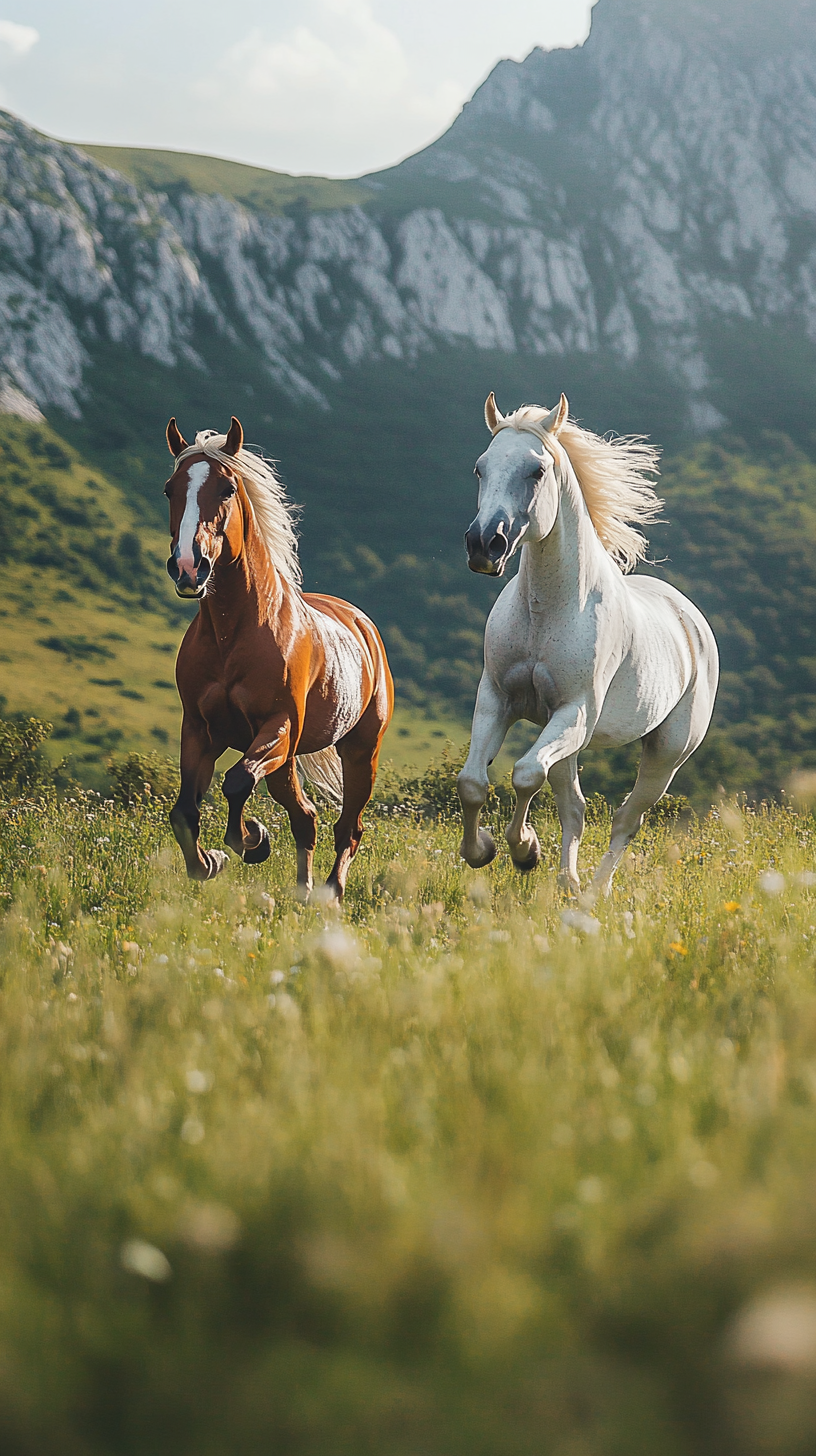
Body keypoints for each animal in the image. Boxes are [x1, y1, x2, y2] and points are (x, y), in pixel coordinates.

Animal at [161, 416, 393, 902]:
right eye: (170, 489)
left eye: (227, 489)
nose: (189, 567)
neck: (234, 635)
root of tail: (362, 624)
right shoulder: (199, 729)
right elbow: (184, 811)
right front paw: (209, 862)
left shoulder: (278, 725)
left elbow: (236, 782)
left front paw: (250, 840)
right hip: (287, 762)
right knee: (305, 817)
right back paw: (303, 890)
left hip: (359, 750)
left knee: (348, 828)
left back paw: (329, 892)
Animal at [460, 393, 719, 902]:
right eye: (480, 468)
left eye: (536, 471)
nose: (484, 545)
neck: (548, 611)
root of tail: (690, 619)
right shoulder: (496, 699)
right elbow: (474, 782)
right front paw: (481, 852)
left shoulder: (575, 711)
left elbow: (524, 774)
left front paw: (524, 851)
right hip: (571, 742)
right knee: (575, 808)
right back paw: (568, 881)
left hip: (665, 753)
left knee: (627, 818)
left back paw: (595, 891)